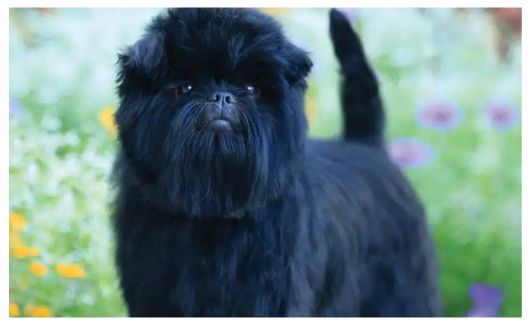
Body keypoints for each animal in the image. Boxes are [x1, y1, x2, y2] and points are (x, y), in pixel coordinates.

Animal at [112, 8, 442, 316]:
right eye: (186, 87)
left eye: (251, 89)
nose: (221, 96)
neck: (214, 211)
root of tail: (366, 144)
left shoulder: (271, 298)